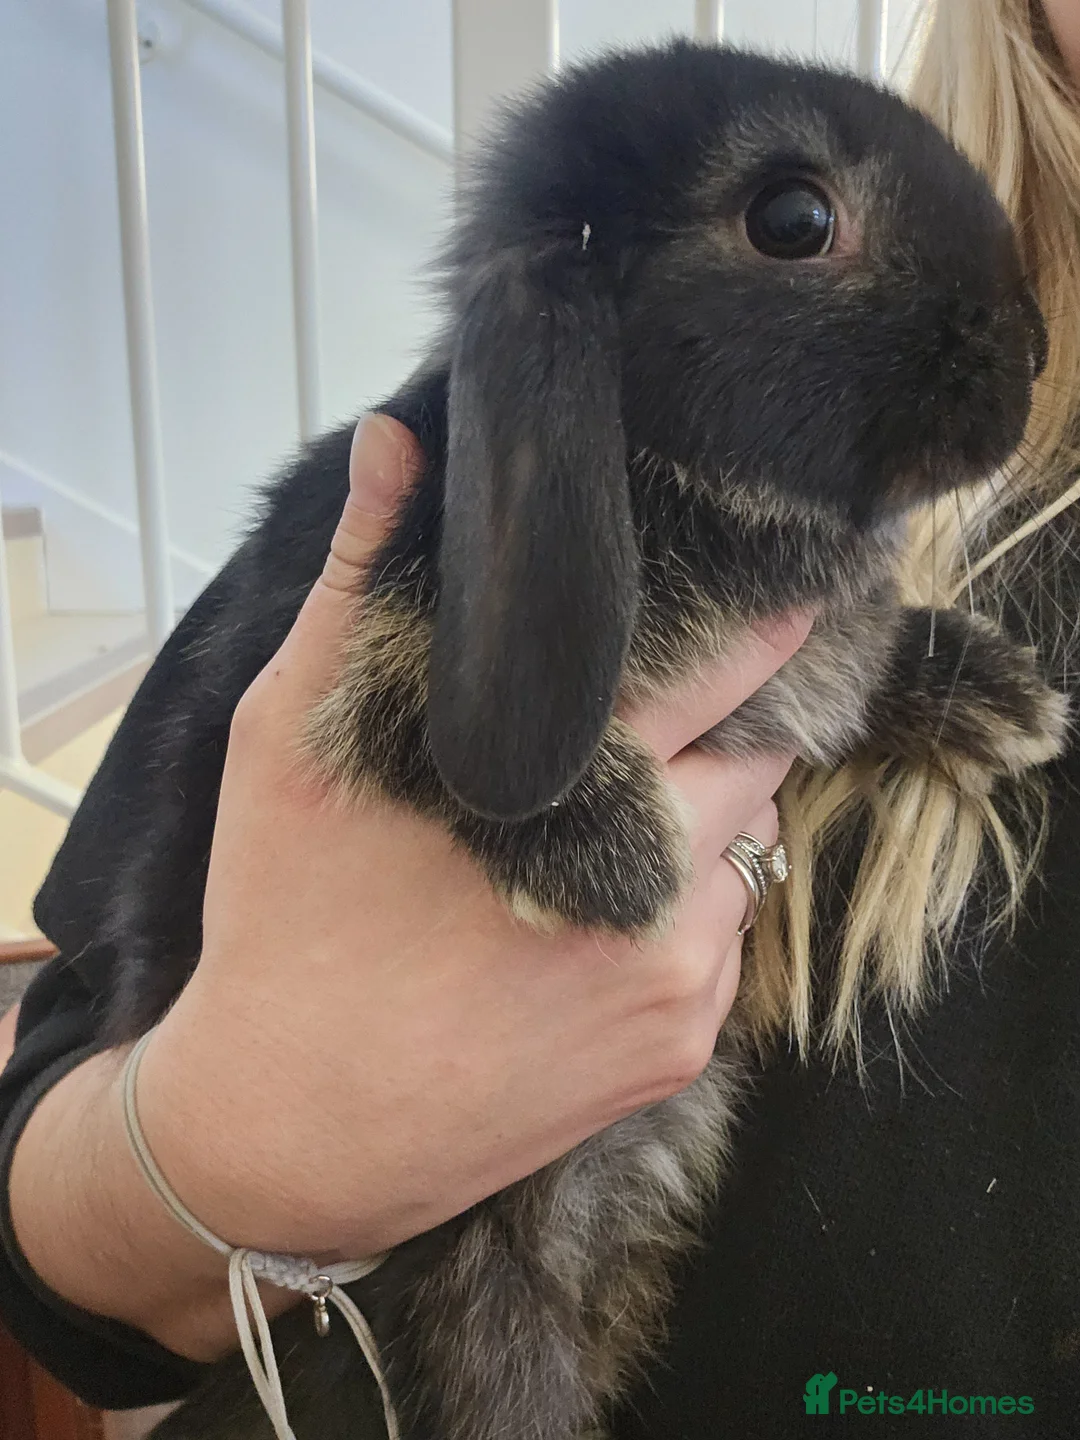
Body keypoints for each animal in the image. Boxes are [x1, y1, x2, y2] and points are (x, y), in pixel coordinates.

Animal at [34, 39, 1068, 1440]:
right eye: (796, 219)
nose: (1034, 349)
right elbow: (398, 686)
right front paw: (611, 854)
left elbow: (855, 673)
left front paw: (1000, 694)